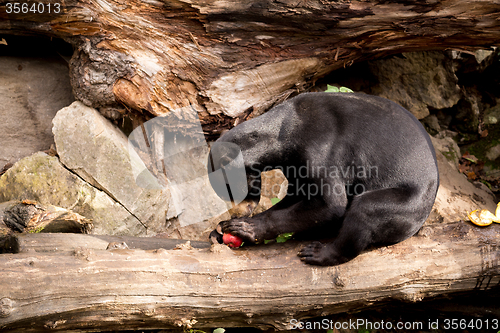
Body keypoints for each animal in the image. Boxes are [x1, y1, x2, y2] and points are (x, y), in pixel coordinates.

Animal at [207, 92, 438, 266]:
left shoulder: (322, 149)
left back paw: (318, 253)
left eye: (231, 190)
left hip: (410, 201)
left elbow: (331, 204)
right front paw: (221, 229)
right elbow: (295, 196)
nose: (236, 212)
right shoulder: (294, 164)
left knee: (365, 209)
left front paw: (244, 228)